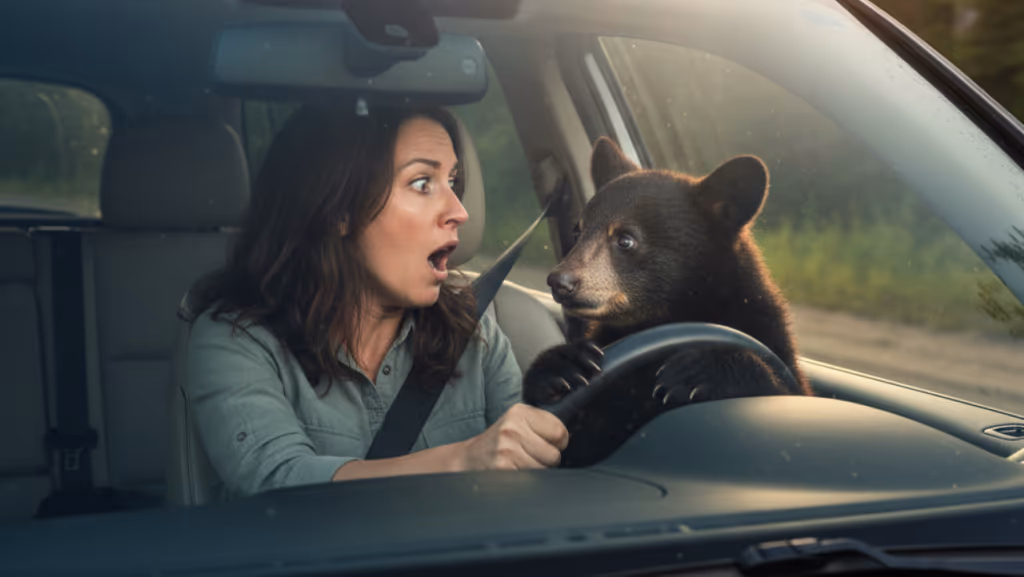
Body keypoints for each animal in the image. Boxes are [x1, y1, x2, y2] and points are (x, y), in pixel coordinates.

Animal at [522, 136, 812, 468]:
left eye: (625, 239)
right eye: (578, 230)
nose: (560, 282)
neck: (664, 319)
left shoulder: (769, 337)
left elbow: (786, 388)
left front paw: (696, 372)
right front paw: (562, 365)